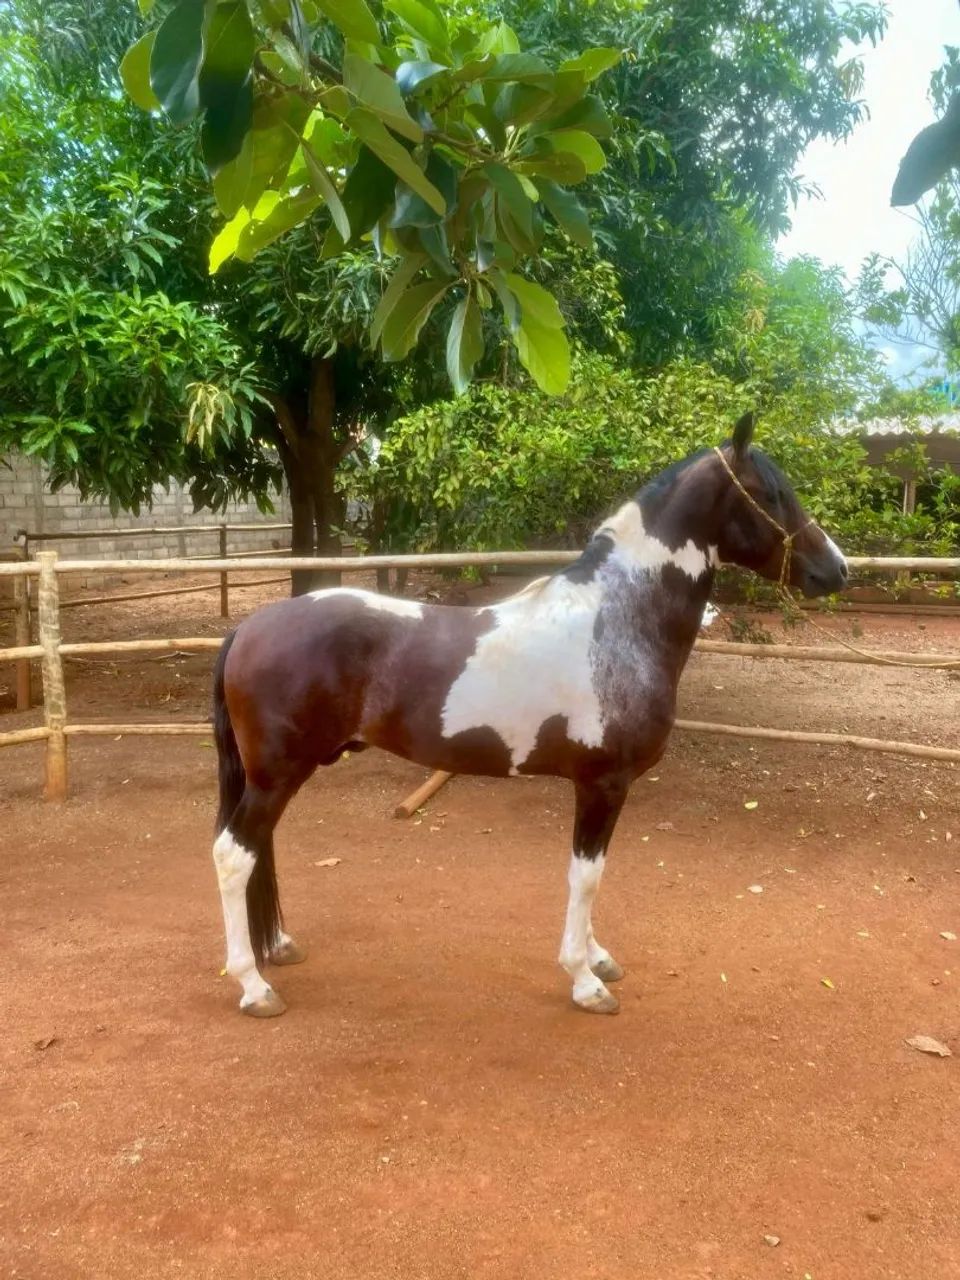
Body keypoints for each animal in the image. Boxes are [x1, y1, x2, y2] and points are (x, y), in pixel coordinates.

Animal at [211, 413, 847, 1018]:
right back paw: (253, 985)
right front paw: (585, 979)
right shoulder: (603, 783)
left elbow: (591, 875)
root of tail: (250, 627)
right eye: (771, 494)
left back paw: (276, 947)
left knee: (257, 850)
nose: (837, 570)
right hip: (277, 776)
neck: (614, 620)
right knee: (233, 855)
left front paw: (597, 958)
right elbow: (586, 876)